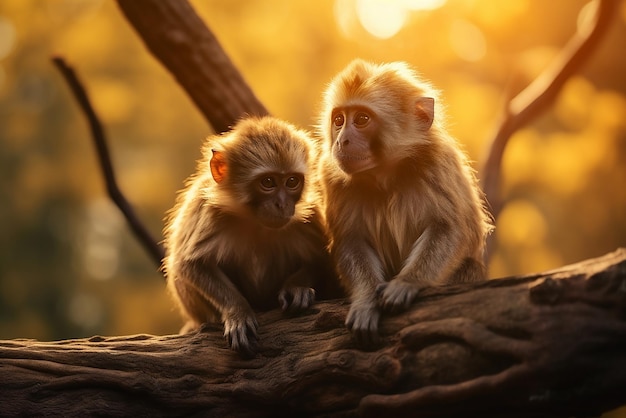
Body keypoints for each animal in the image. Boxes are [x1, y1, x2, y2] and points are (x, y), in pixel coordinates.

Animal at [163, 116, 334, 356]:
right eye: (268, 182)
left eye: (292, 182)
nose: (282, 204)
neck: (254, 221)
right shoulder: (209, 212)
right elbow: (191, 264)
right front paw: (238, 312)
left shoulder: (308, 218)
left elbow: (320, 260)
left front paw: (296, 287)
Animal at [316, 59, 492, 346]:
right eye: (339, 120)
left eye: (362, 119)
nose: (342, 140)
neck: (386, 176)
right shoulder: (332, 177)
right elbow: (351, 240)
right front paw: (366, 300)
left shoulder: (438, 162)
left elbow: (454, 228)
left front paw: (408, 282)